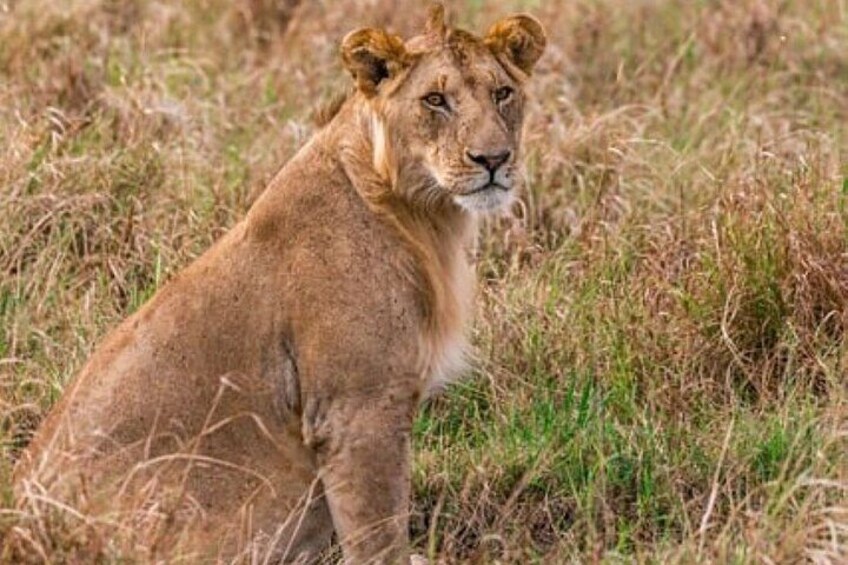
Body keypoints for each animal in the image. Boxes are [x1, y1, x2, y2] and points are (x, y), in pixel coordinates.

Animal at [9, 5, 546, 563]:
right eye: (435, 100)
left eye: (502, 93)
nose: (494, 159)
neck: (426, 218)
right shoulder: (357, 411)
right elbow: (377, 531)